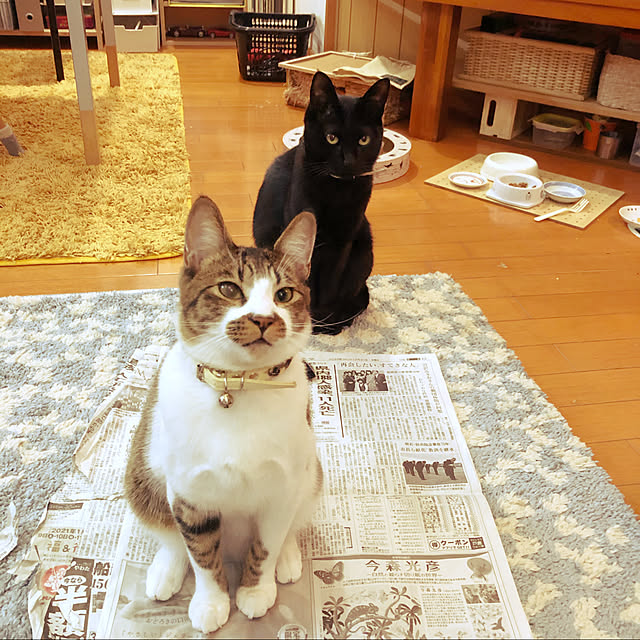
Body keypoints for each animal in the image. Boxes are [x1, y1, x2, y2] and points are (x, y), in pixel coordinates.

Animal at [124, 195, 322, 633]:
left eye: (284, 294)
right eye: (229, 288)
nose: (264, 319)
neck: (241, 386)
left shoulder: (282, 487)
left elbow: (267, 543)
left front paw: (256, 591)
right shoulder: (189, 493)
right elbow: (200, 554)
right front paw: (211, 602)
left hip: (313, 473)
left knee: (295, 522)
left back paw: (289, 558)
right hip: (142, 476)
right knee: (168, 533)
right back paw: (166, 570)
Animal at [252, 71, 390, 335]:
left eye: (364, 140)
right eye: (332, 138)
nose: (348, 161)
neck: (337, 191)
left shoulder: (343, 242)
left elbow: (329, 285)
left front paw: (326, 321)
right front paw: (311, 322)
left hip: (364, 249)